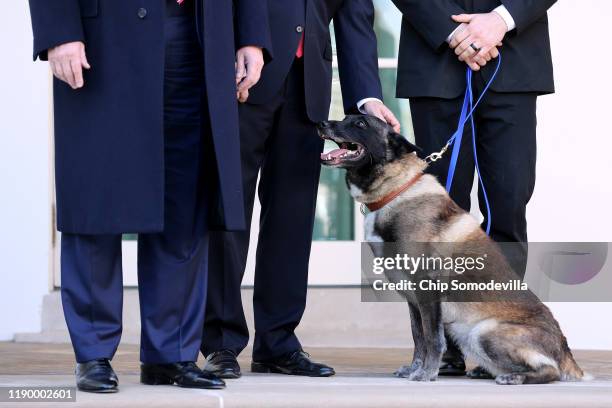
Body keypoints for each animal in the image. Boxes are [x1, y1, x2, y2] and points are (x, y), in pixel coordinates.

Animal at [318, 115, 584, 386]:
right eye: (346, 118)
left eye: (360, 124)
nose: (321, 124)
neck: (397, 191)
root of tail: (566, 352)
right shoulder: (413, 300)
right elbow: (418, 337)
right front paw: (415, 368)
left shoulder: (428, 290)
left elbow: (432, 338)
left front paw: (427, 373)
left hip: (482, 332)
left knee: (550, 371)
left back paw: (514, 377)